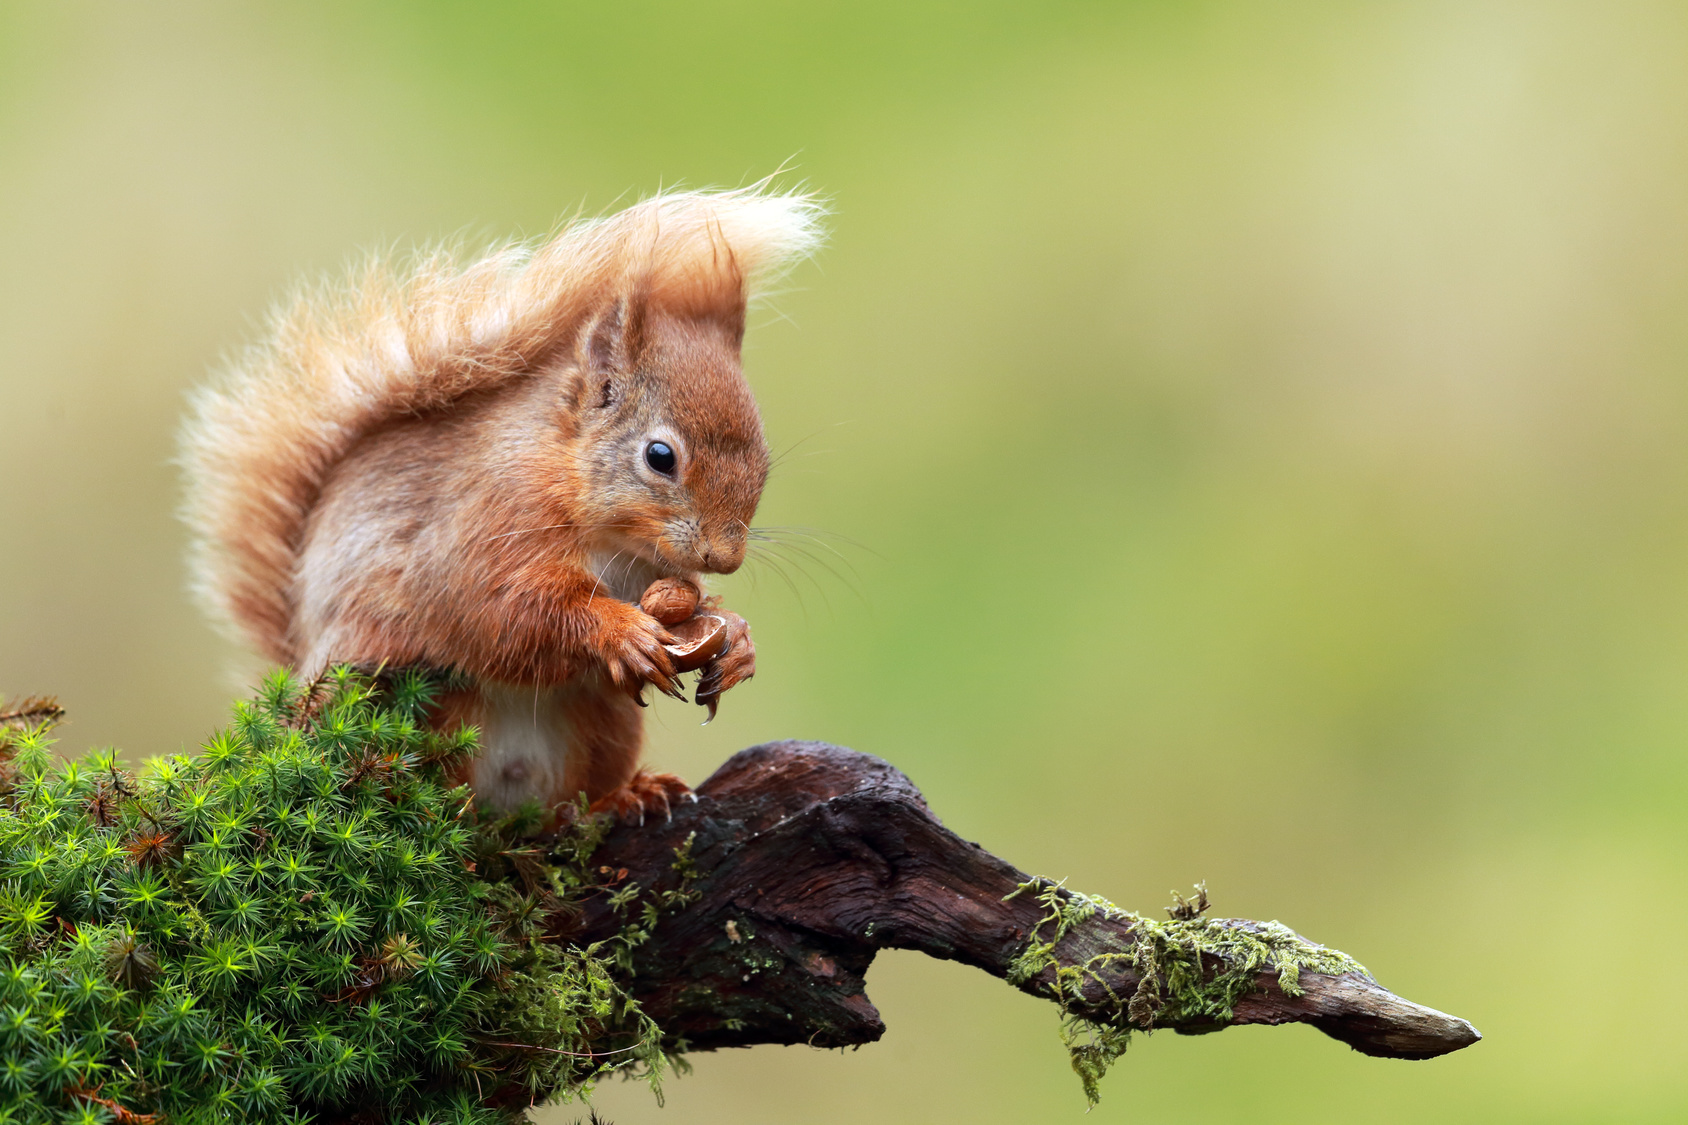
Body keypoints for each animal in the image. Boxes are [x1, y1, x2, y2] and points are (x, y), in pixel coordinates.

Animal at [178, 188, 823, 820]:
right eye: (660, 456)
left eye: (765, 461)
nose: (725, 557)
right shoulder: (484, 522)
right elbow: (502, 609)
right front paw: (621, 633)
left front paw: (736, 640)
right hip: (402, 702)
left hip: (607, 725)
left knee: (573, 797)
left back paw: (624, 797)